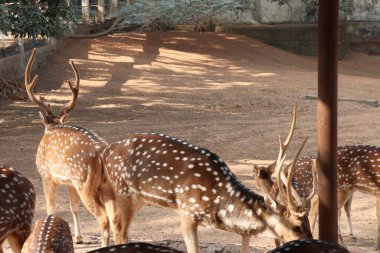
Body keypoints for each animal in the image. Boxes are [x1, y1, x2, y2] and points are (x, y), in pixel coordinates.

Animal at [24, 48, 122, 246]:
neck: (51, 127)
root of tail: (103, 152)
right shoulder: (69, 182)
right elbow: (73, 207)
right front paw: (78, 238)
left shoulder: (46, 175)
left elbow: (51, 208)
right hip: (105, 184)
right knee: (115, 216)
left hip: (85, 182)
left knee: (103, 217)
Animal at [102, 107, 314, 253]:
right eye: (296, 227)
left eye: (309, 224)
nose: (311, 242)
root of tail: (107, 151)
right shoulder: (186, 211)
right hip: (122, 189)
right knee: (120, 229)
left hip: (140, 197)